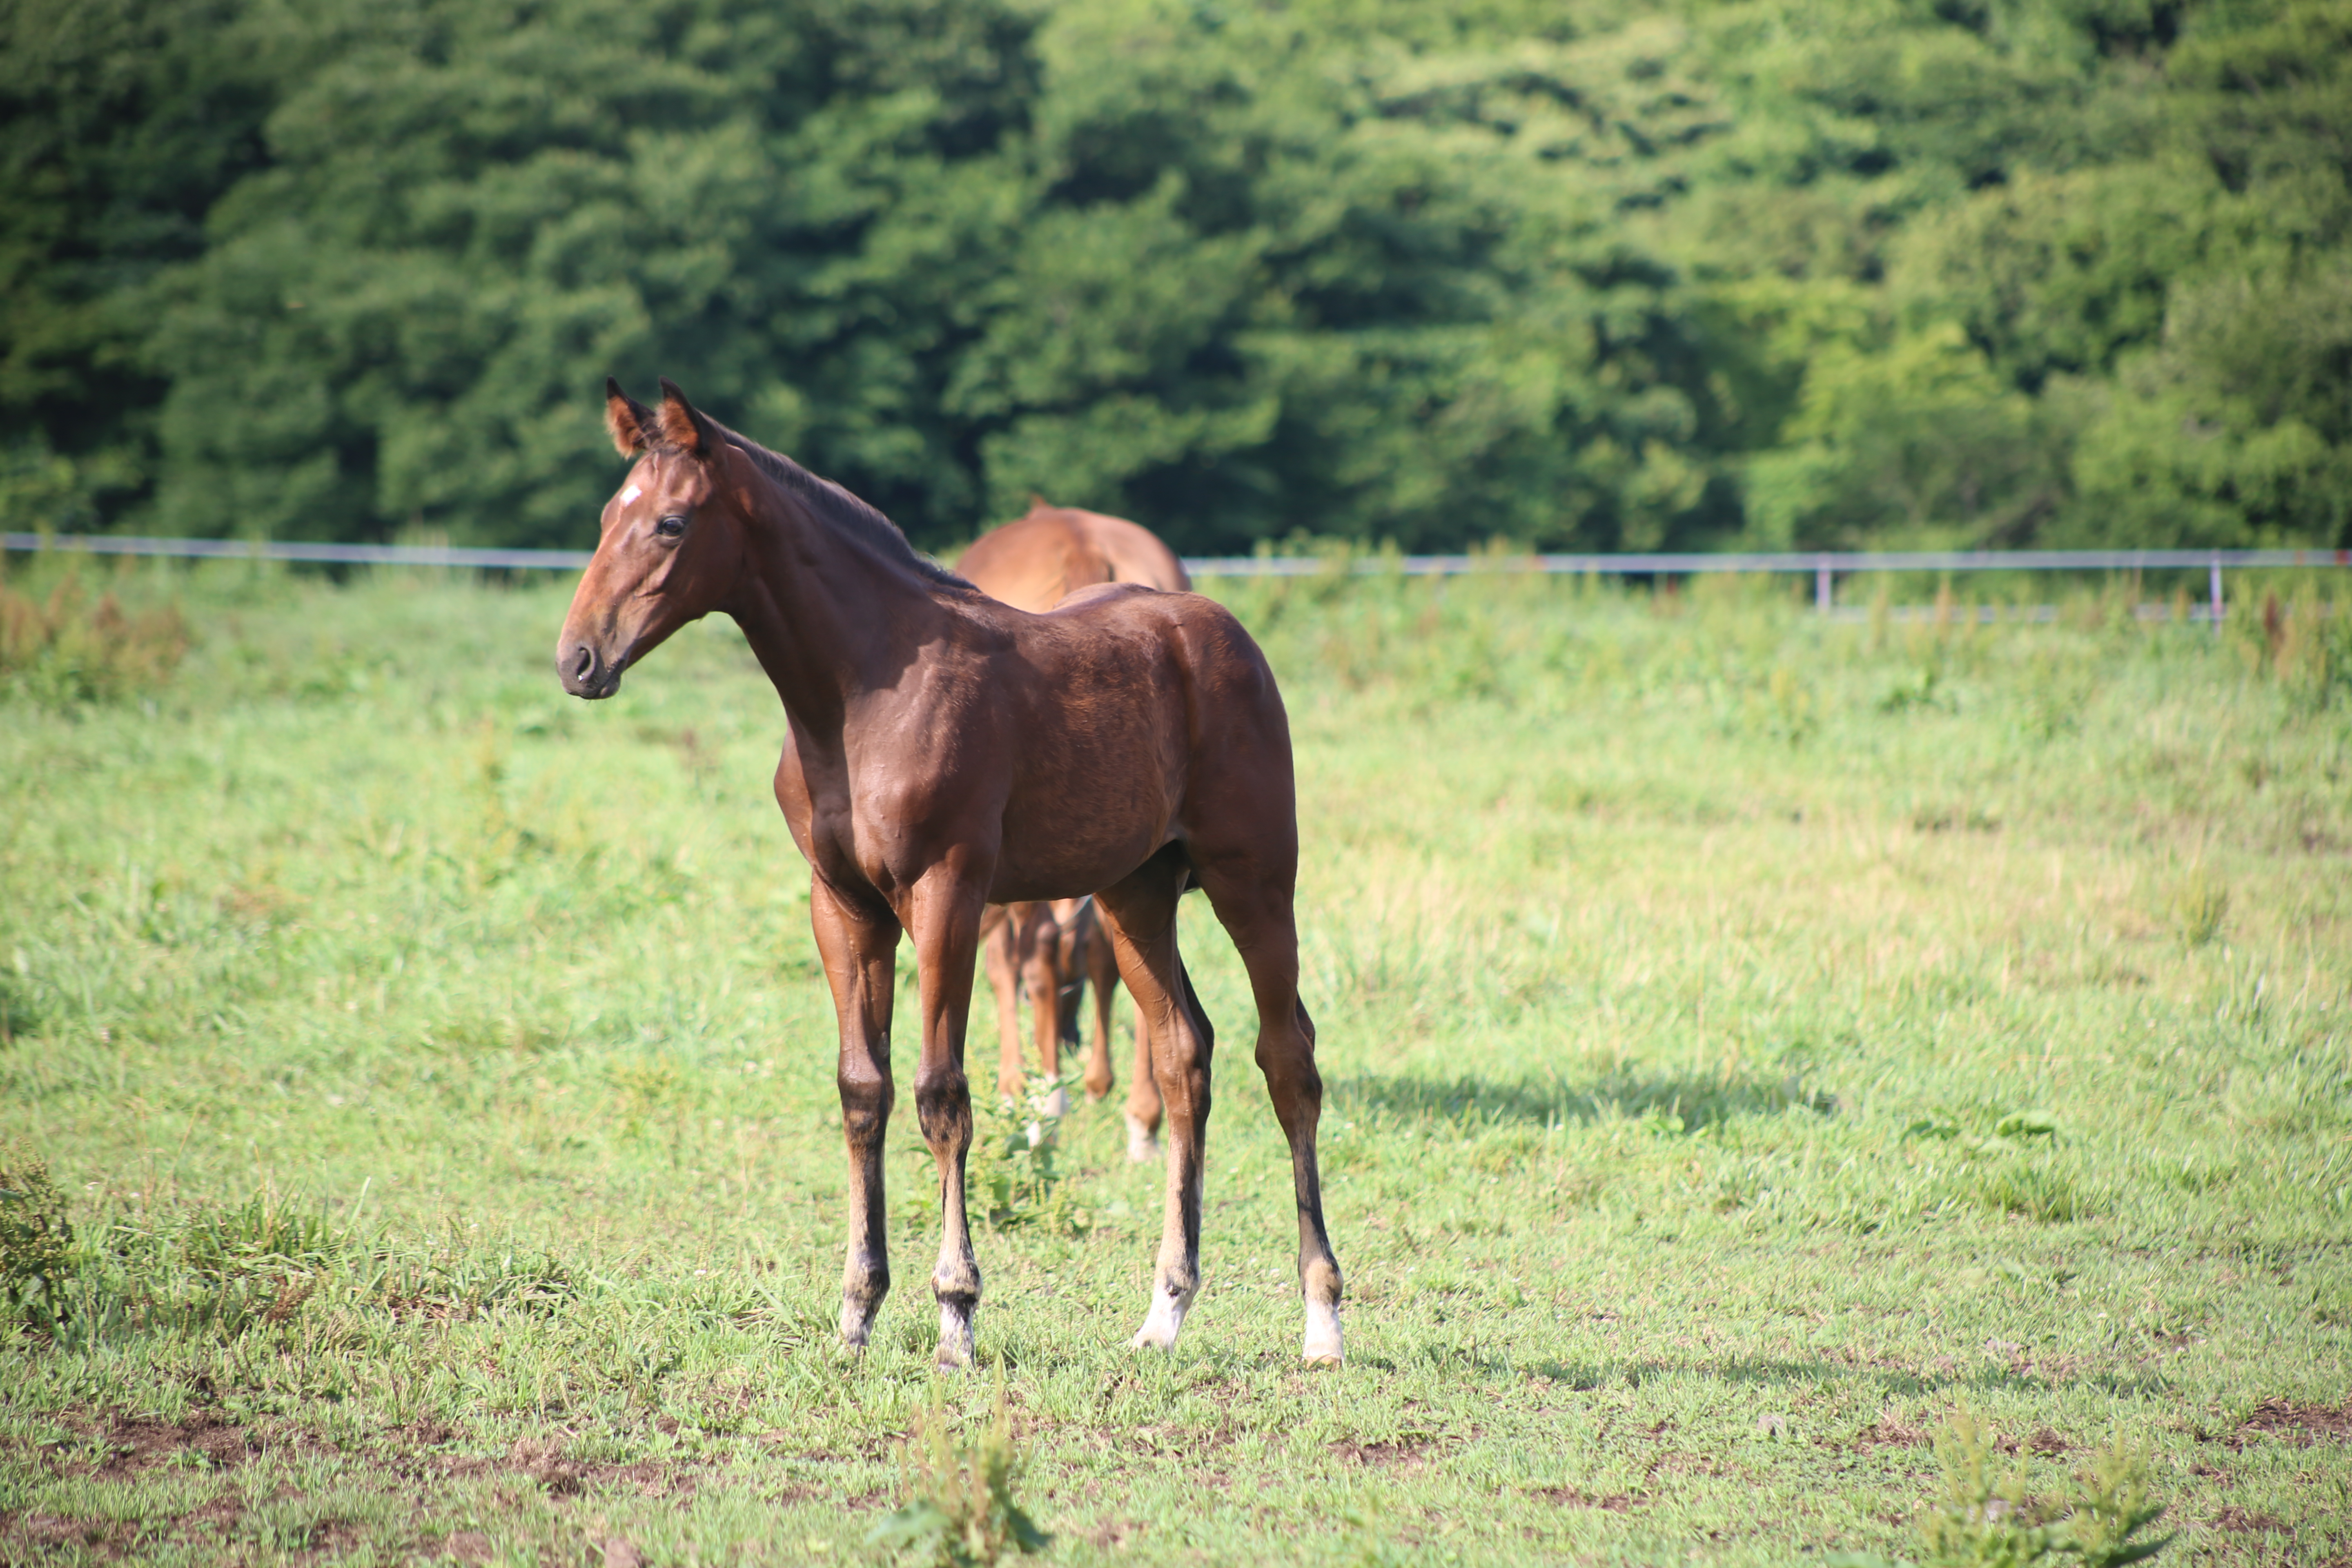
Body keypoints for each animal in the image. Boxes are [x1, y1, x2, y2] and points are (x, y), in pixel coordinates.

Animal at [950, 503, 1195, 1166]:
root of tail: (1081, 541)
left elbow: (1008, 967)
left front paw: (1025, 1089)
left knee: (1034, 950)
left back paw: (1046, 1108)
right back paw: (1142, 1118)